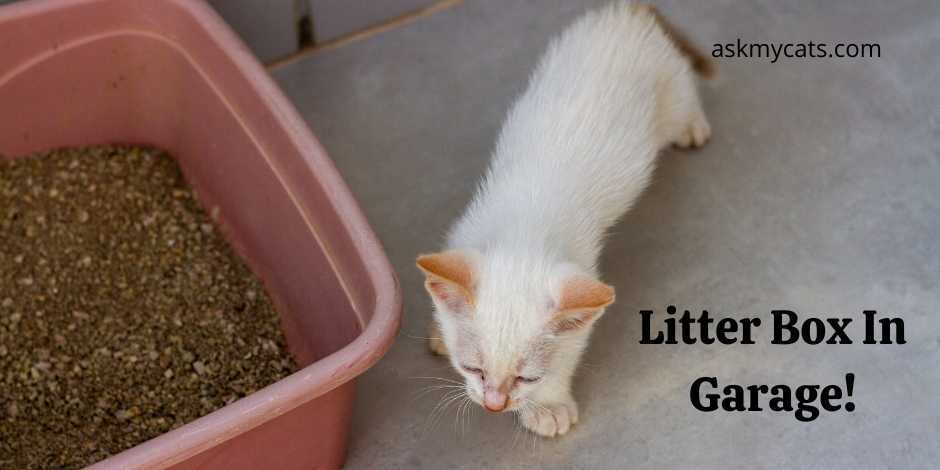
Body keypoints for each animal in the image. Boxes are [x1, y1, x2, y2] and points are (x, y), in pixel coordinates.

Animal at [414, 1, 708, 438]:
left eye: (527, 378)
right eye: (473, 368)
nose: (494, 405)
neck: (520, 231)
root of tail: (628, 11)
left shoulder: (580, 272)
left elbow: (570, 350)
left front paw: (548, 405)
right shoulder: (464, 236)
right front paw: (440, 328)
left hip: (668, 90)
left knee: (684, 88)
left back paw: (693, 125)